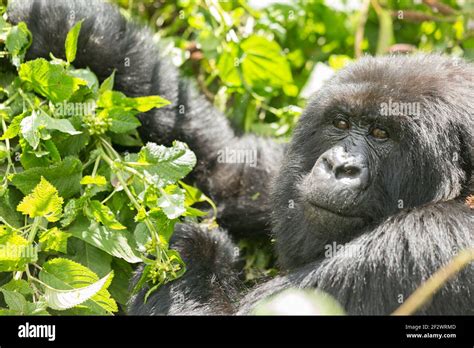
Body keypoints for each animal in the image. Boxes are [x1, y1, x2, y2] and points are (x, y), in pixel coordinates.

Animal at [8, 0, 474, 316]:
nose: (338, 166)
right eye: (341, 123)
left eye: (381, 134)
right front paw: (50, 26)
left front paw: (195, 247)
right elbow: (222, 165)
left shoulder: (422, 246)